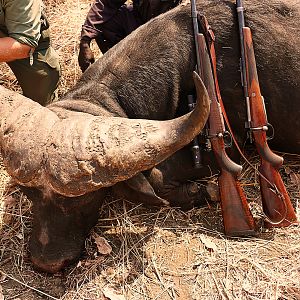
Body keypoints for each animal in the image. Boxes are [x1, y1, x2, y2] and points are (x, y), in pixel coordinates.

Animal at [0, 0, 300, 272]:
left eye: (81, 197)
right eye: (28, 193)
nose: (47, 262)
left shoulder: (231, 146)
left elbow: (154, 179)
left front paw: (203, 191)